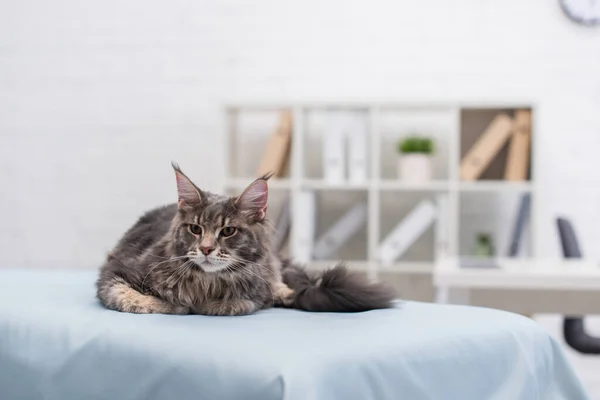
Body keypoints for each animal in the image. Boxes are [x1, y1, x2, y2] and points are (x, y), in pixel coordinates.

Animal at [96, 162, 396, 316]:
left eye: (228, 231)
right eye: (195, 229)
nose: (206, 249)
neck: (205, 283)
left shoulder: (255, 291)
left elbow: (238, 304)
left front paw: (204, 305)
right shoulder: (116, 270)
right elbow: (133, 299)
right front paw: (175, 305)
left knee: (290, 291)